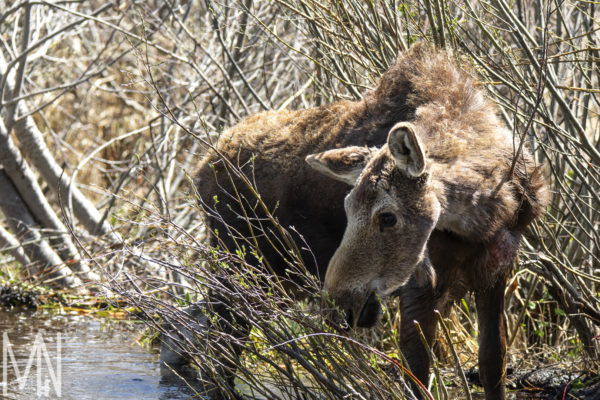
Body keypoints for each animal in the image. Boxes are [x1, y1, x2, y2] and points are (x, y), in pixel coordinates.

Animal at [162, 42, 548, 398]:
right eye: (346, 208)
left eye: (388, 217)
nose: (339, 304)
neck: (492, 212)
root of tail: (200, 169)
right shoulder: (420, 287)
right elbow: (417, 375)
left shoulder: (496, 273)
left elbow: (493, 364)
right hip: (244, 267)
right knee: (220, 346)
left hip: (273, 278)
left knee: (191, 324)